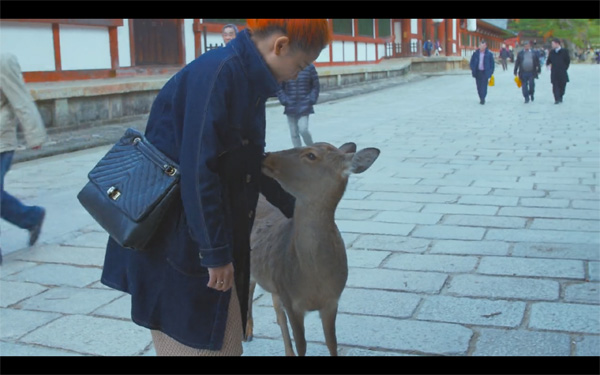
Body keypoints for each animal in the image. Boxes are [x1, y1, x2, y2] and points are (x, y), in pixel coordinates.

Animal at [247, 142, 380, 356]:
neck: (313, 279)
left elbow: (332, 342)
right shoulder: (292, 301)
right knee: (251, 288)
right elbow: (302, 344)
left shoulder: (332, 301)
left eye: (311, 155)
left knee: (276, 310)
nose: (266, 155)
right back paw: (248, 332)